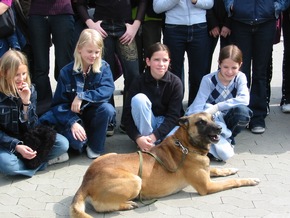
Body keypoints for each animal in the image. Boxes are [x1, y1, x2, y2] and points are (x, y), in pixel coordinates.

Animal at [69, 113, 258, 217]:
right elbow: (232, 182)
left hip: (111, 156)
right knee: (101, 207)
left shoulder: (206, 172)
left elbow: (218, 169)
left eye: (213, 118)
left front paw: (230, 169)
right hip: (135, 180)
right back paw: (127, 204)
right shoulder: (207, 186)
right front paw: (249, 180)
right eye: (201, 122)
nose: (219, 128)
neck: (186, 145)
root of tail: (86, 181)